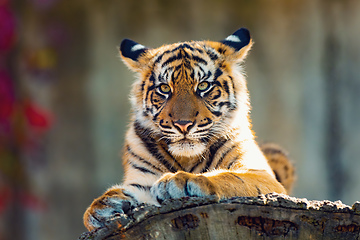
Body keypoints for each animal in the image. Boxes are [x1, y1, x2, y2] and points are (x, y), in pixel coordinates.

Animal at [83, 28, 294, 231]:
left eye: (203, 86)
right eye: (164, 88)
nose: (183, 124)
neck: (187, 157)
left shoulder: (261, 174)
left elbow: (231, 177)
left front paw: (181, 181)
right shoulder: (142, 179)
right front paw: (101, 207)